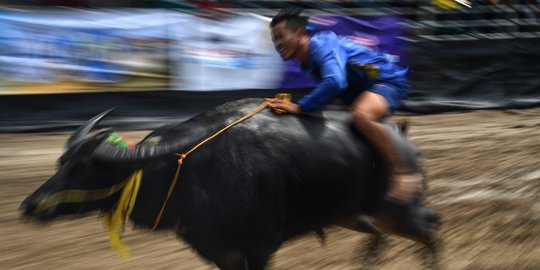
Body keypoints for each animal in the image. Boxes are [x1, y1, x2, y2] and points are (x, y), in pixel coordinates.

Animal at [21, 98, 440, 268]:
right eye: (62, 163)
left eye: (87, 169)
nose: (30, 205)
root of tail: (401, 135)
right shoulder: (219, 251)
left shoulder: (258, 248)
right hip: (350, 213)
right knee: (379, 233)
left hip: (399, 209)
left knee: (431, 229)